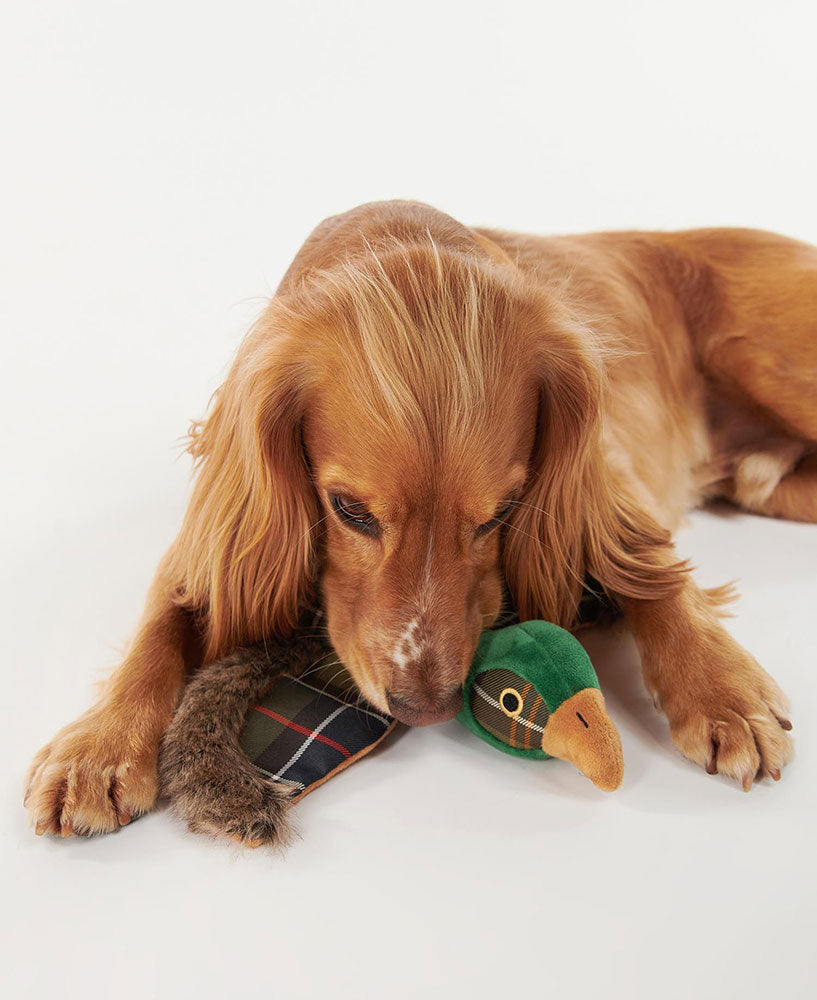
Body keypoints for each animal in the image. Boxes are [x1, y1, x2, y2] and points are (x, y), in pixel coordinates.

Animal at [23, 197, 808, 836]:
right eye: (349, 511)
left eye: (502, 513)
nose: (423, 706)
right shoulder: (215, 527)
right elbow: (159, 623)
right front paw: (100, 747)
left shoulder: (604, 480)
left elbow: (653, 568)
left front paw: (720, 690)